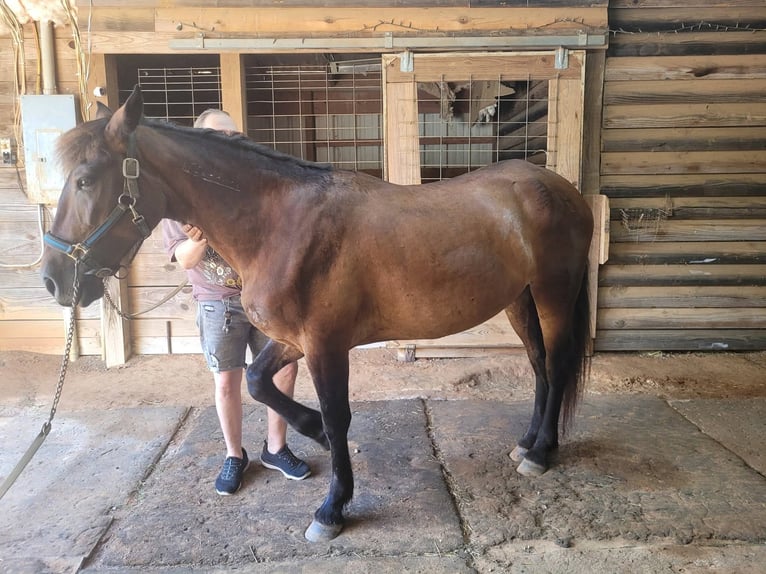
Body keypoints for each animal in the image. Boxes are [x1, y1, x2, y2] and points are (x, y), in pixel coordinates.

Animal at [41, 85, 593, 542]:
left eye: (85, 180)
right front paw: (315, 435)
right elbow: (258, 383)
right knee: (540, 367)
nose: (53, 280)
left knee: (558, 362)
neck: (281, 225)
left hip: (553, 292)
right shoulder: (293, 340)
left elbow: (336, 412)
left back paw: (541, 452)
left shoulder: (326, 344)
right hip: (519, 298)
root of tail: (564, 190)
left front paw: (332, 508)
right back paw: (526, 443)